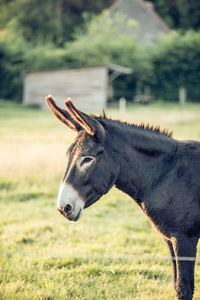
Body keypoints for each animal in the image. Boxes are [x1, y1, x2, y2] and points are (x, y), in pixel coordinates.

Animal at [45, 94, 200, 300]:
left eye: (87, 159)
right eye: (68, 156)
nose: (63, 208)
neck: (165, 172)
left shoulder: (184, 239)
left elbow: (184, 289)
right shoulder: (170, 239)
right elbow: (178, 285)